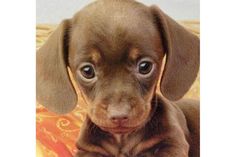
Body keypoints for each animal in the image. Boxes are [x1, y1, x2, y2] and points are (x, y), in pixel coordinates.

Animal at [37, 0, 199, 156]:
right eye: (87, 71)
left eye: (145, 66)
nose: (119, 115)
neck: (122, 139)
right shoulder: (88, 150)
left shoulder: (173, 143)